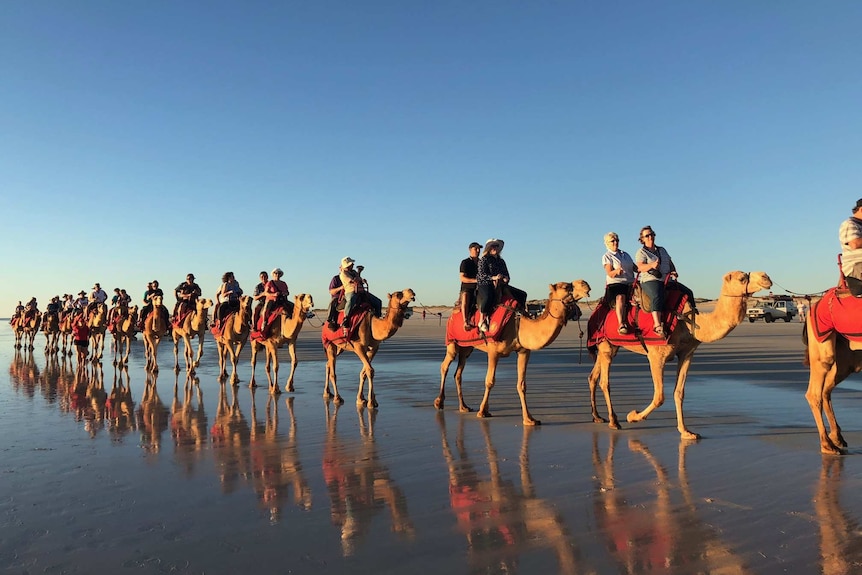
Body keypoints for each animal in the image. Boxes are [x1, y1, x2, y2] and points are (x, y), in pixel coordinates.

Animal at [436, 282, 592, 426]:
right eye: (566, 286)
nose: (586, 285)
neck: (518, 325)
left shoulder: (524, 351)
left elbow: (521, 385)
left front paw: (529, 419)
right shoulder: (493, 351)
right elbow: (489, 381)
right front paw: (482, 411)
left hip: (467, 348)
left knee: (458, 372)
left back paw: (464, 407)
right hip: (452, 342)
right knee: (445, 366)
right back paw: (439, 402)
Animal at [592, 272, 772, 438]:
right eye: (742, 278)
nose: (766, 277)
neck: (688, 321)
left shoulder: (686, 354)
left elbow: (679, 393)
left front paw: (686, 432)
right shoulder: (656, 356)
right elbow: (659, 396)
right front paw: (632, 416)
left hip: (610, 346)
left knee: (593, 377)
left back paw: (598, 417)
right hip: (606, 346)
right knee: (604, 382)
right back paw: (614, 421)